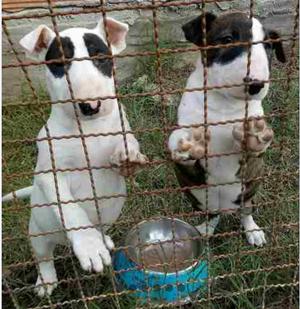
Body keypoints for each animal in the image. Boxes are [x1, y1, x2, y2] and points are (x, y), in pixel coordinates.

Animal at [2, 17, 147, 296]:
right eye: (59, 63)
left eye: (100, 57)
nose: (91, 106)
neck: (89, 129)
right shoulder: (49, 172)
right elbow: (71, 208)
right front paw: (89, 245)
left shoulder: (123, 127)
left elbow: (128, 144)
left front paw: (128, 156)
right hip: (38, 233)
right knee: (44, 257)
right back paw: (47, 280)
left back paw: (105, 239)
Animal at [169, 12, 286, 245]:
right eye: (227, 39)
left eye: (268, 46)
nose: (256, 84)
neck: (225, 104)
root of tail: (225, 208)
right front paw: (187, 144)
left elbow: (253, 150)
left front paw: (254, 136)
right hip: (201, 201)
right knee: (212, 216)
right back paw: (205, 229)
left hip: (247, 194)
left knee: (246, 211)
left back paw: (253, 231)